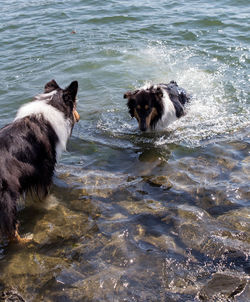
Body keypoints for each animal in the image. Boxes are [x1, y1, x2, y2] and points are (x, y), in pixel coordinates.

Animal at [0, 79, 80, 242]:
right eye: (75, 104)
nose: (78, 116)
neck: (51, 104)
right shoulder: (44, 170)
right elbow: (44, 194)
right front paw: (51, 204)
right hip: (7, 195)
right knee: (11, 229)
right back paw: (26, 239)